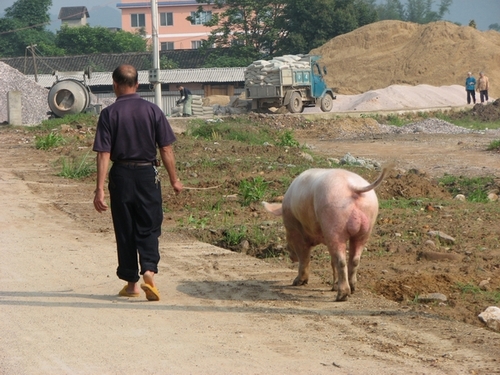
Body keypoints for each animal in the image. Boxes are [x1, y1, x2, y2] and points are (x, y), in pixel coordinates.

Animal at [264, 167, 388, 302]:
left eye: (287, 233)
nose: (291, 257)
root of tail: (352, 186)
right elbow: (331, 260)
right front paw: (333, 287)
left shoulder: (296, 230)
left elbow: (304, 257)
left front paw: (297, 283)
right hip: (365, 227)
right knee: (354, 259)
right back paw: (351, 289)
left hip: (334, 222)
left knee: (341, 261)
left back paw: (341, 296)